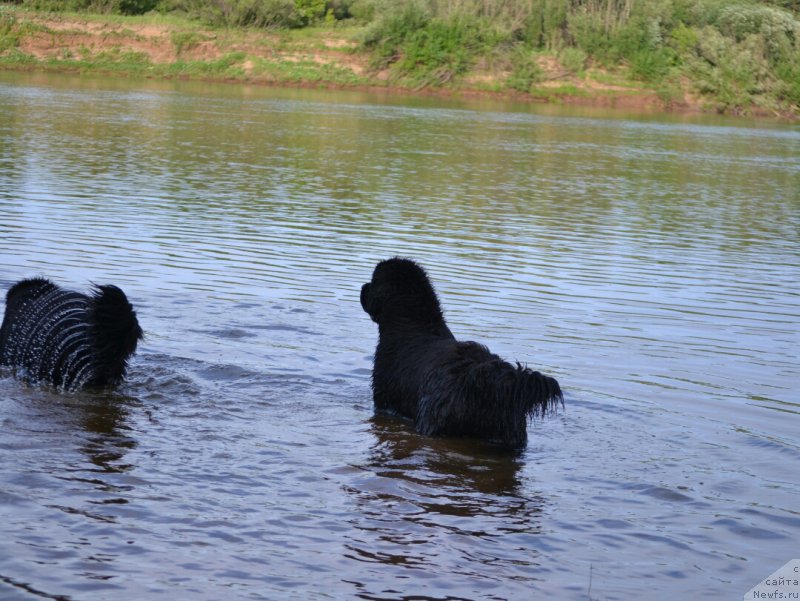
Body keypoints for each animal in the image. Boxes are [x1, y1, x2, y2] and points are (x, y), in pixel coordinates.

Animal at [362, 258, 564, 450]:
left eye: (373, 280)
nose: (363, 287)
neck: (410, 325)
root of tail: (483, 377)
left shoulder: (384, 397)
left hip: (436, 416)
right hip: (510, 430)